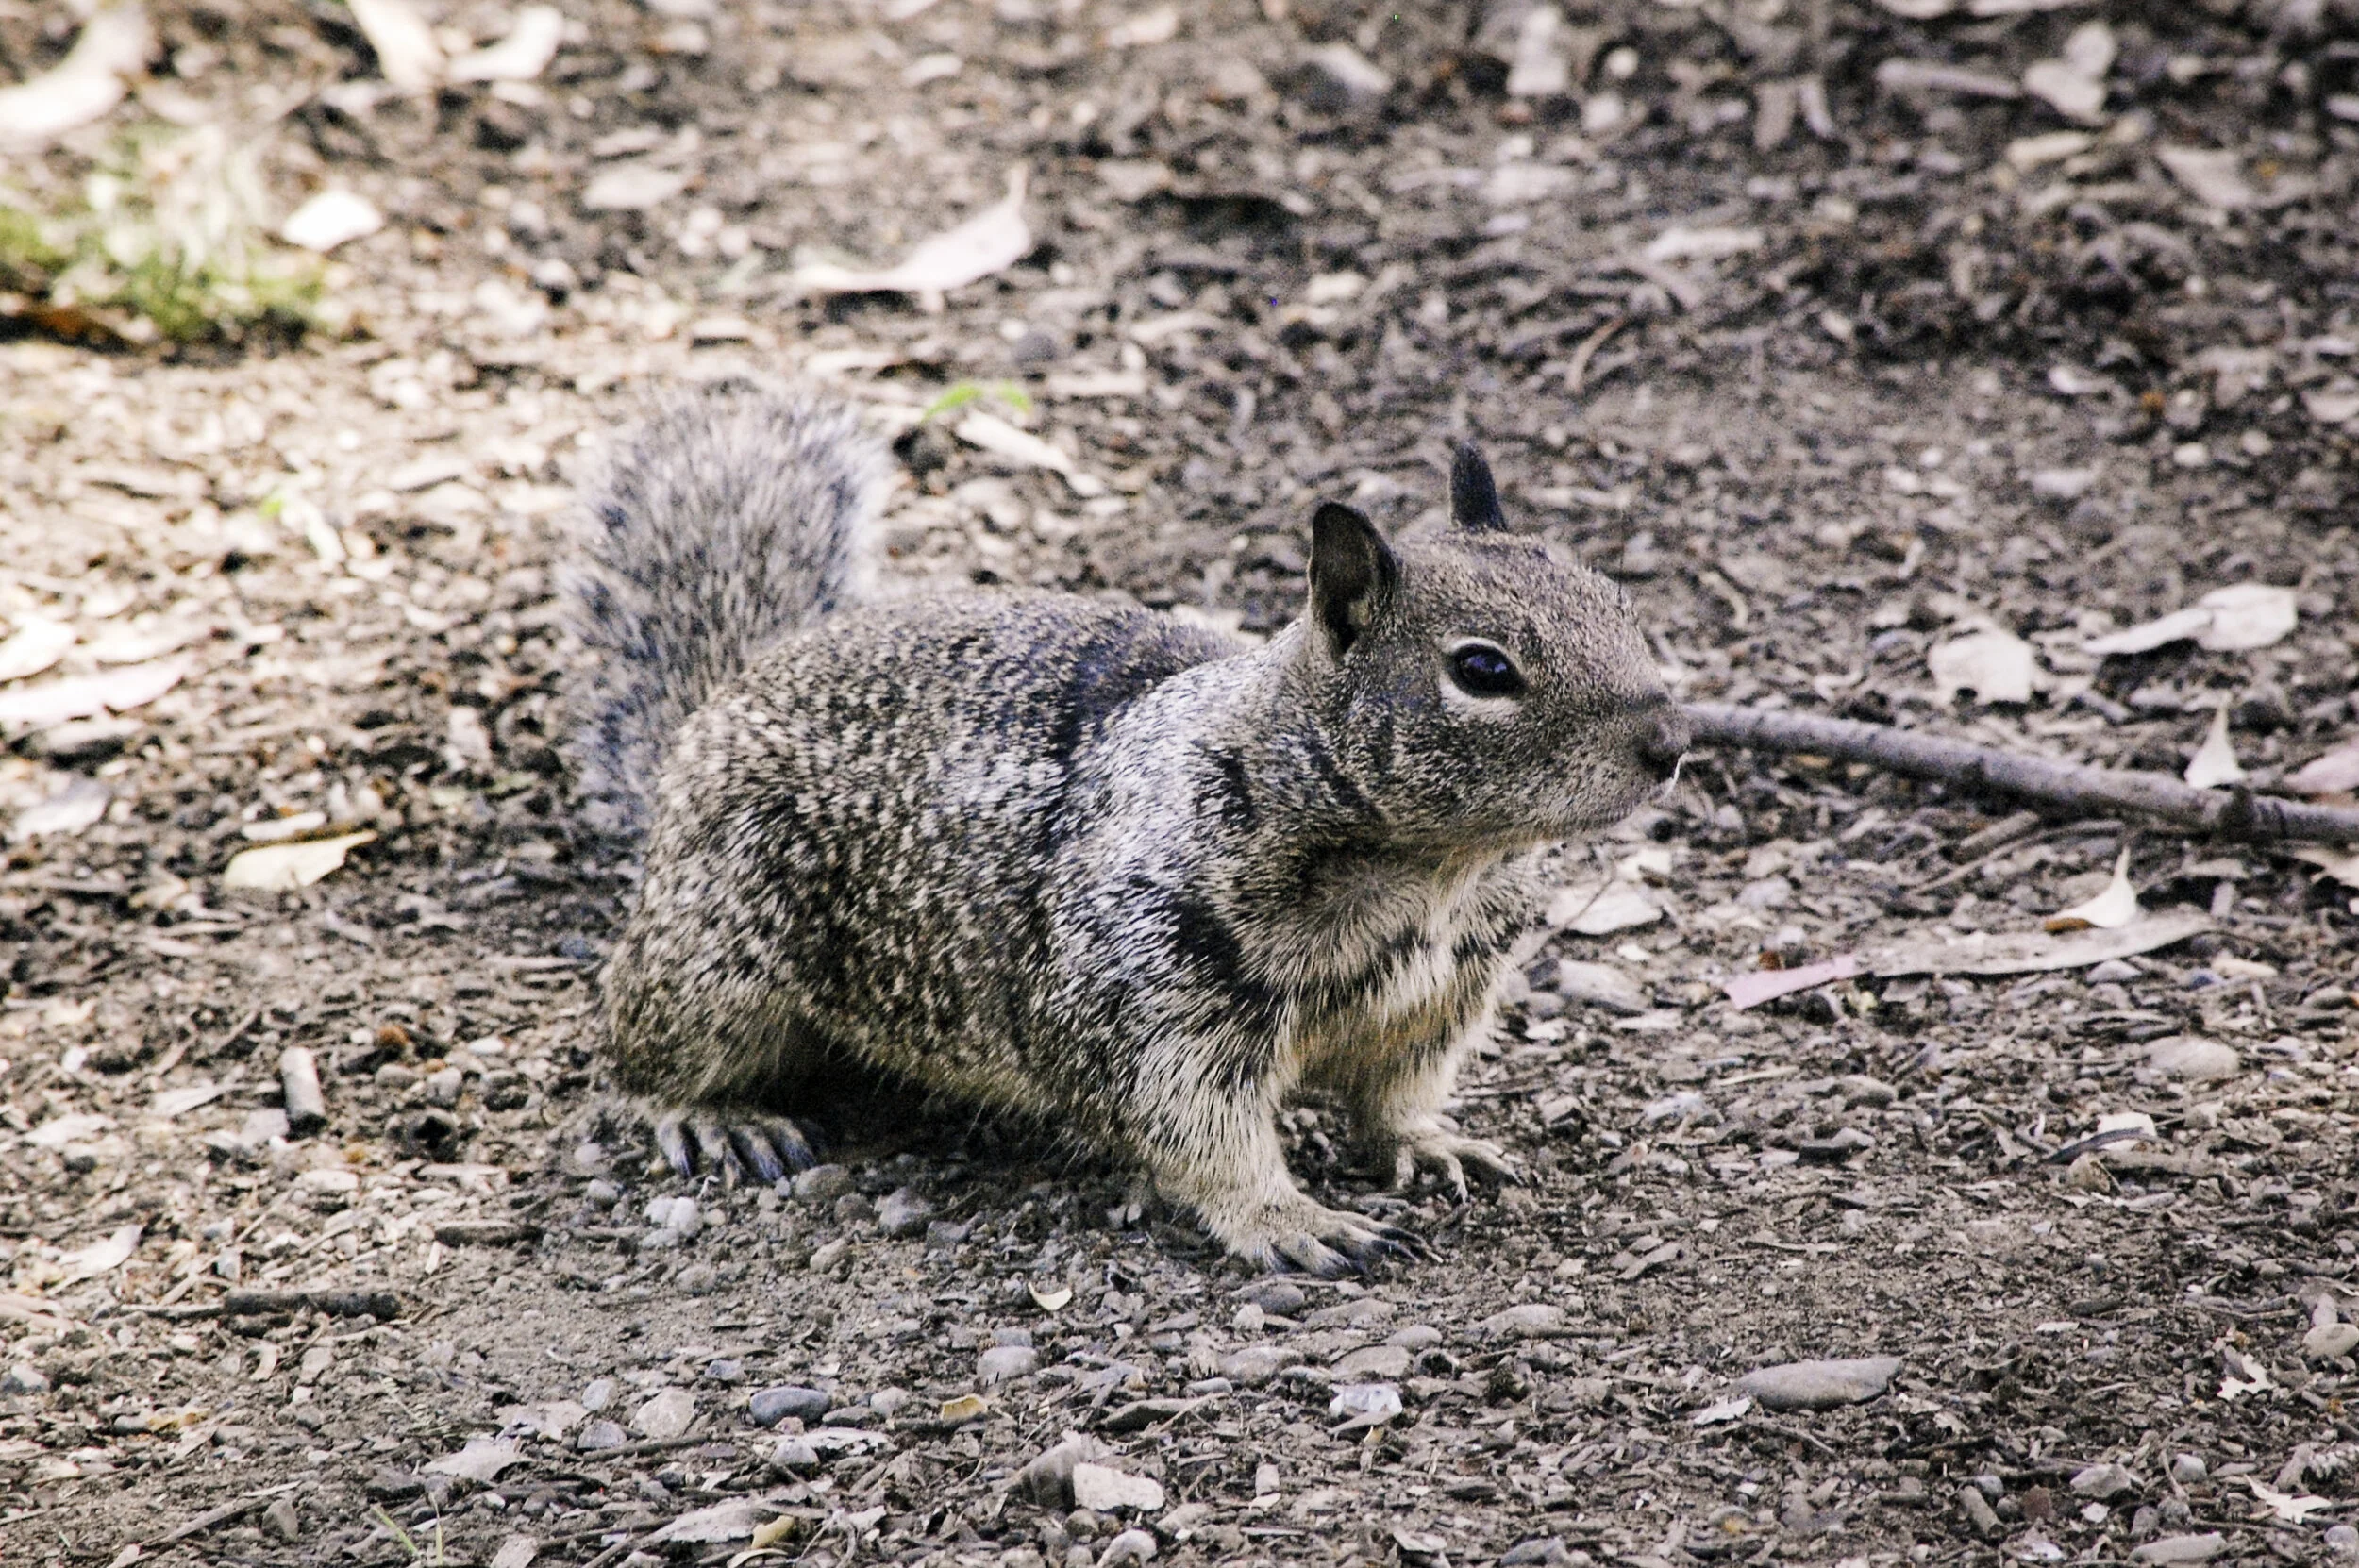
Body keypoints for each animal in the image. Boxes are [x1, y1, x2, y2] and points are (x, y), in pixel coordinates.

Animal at [564, 378, 1688, 1274]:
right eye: (1482, 670)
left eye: (1616, 601)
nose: (1671, 740)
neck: (1437, 874)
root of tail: (706, 719)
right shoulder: (1152, 983)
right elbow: (1195, 1127)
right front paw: (1290, 1218)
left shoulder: (1442, 992)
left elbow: (1398, 1090)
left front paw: (1428, 1141)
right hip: (718, 954)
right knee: (638, 1052)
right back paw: (714, 1115)